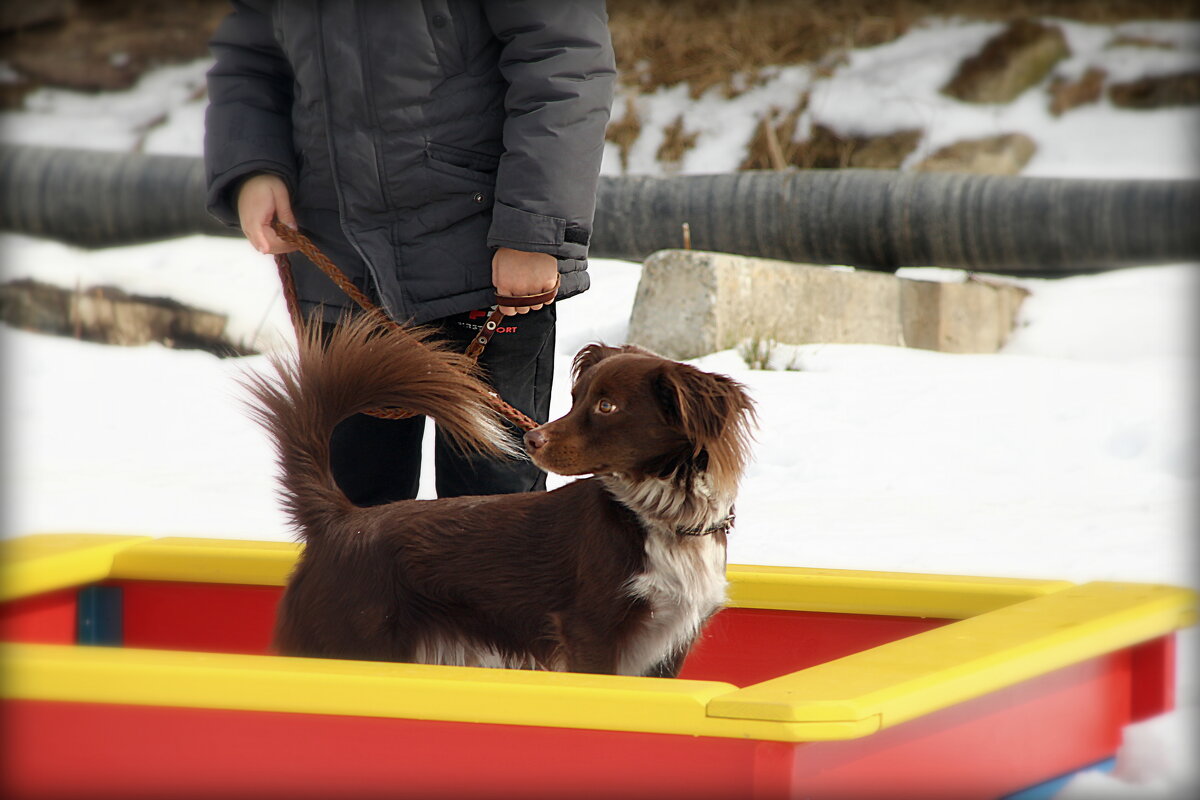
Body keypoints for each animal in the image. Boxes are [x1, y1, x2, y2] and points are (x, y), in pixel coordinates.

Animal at [248, 311, 753, 676]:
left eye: (607, 406)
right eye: (576, 398)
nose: (532, 440)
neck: (660, 518)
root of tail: (341, 520)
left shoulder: (669, 644)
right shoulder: (590, 633)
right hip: (352, 643)